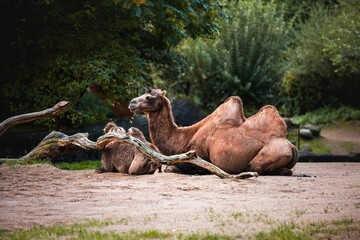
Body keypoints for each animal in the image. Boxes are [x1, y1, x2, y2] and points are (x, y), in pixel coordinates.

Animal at [129, 88, 298, 174]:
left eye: (149, 97)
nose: (132, 103)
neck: (184, 138)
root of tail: (292, 146)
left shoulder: (198, 155)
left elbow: (172, 167)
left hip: (271, 153)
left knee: (253, 167)